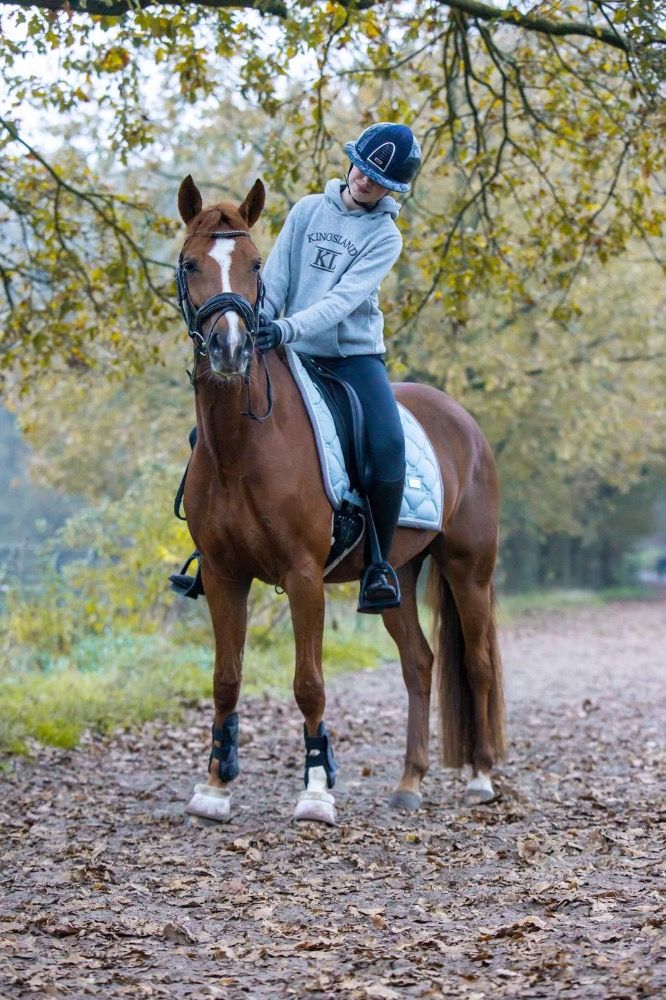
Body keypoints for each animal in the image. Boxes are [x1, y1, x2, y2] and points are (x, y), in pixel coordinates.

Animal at [175, 174, 505, 826]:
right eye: (190, 263)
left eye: (254, 265)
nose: (230, 350)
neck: (241, 448)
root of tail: (464, 423)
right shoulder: (225, 576)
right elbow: (226, 678)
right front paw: (215, 788)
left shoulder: (303, 576)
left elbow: (309, 683)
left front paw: (316, 792)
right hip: (397, 575)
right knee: (420, 664)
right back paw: (409, 782)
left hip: (468, 569)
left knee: (476, 663)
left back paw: (480, 779)